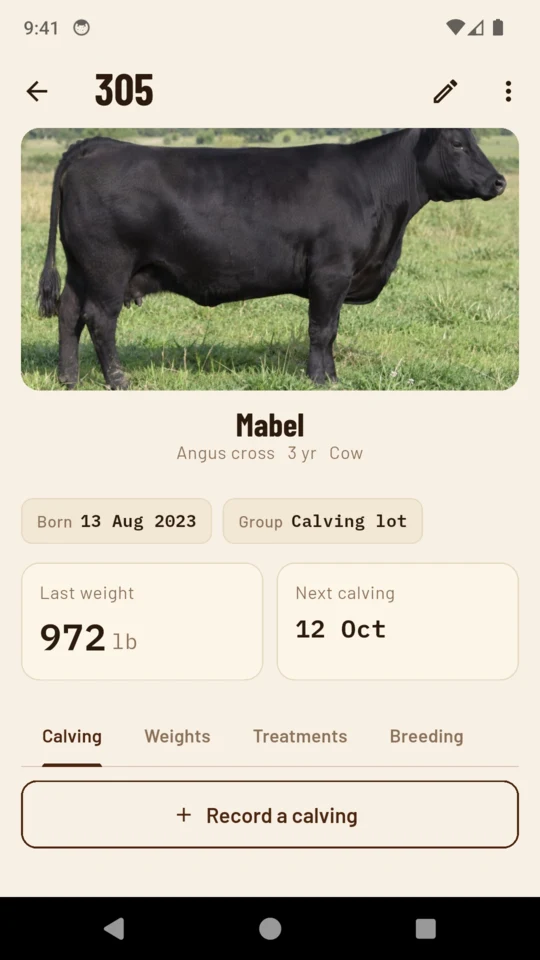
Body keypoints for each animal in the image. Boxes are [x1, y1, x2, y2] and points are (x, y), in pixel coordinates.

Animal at [37, 129, 506, 389]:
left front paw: (332, 377)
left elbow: (331, 332)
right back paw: (118, 380)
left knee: (70, 313)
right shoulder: (331, 273)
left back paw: (69, 378)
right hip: (108, 267)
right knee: (99, 319)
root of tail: (96, 145)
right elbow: (322, 330)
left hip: (81, 268)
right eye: (458, 143)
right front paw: (319, 380)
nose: (499, 181)